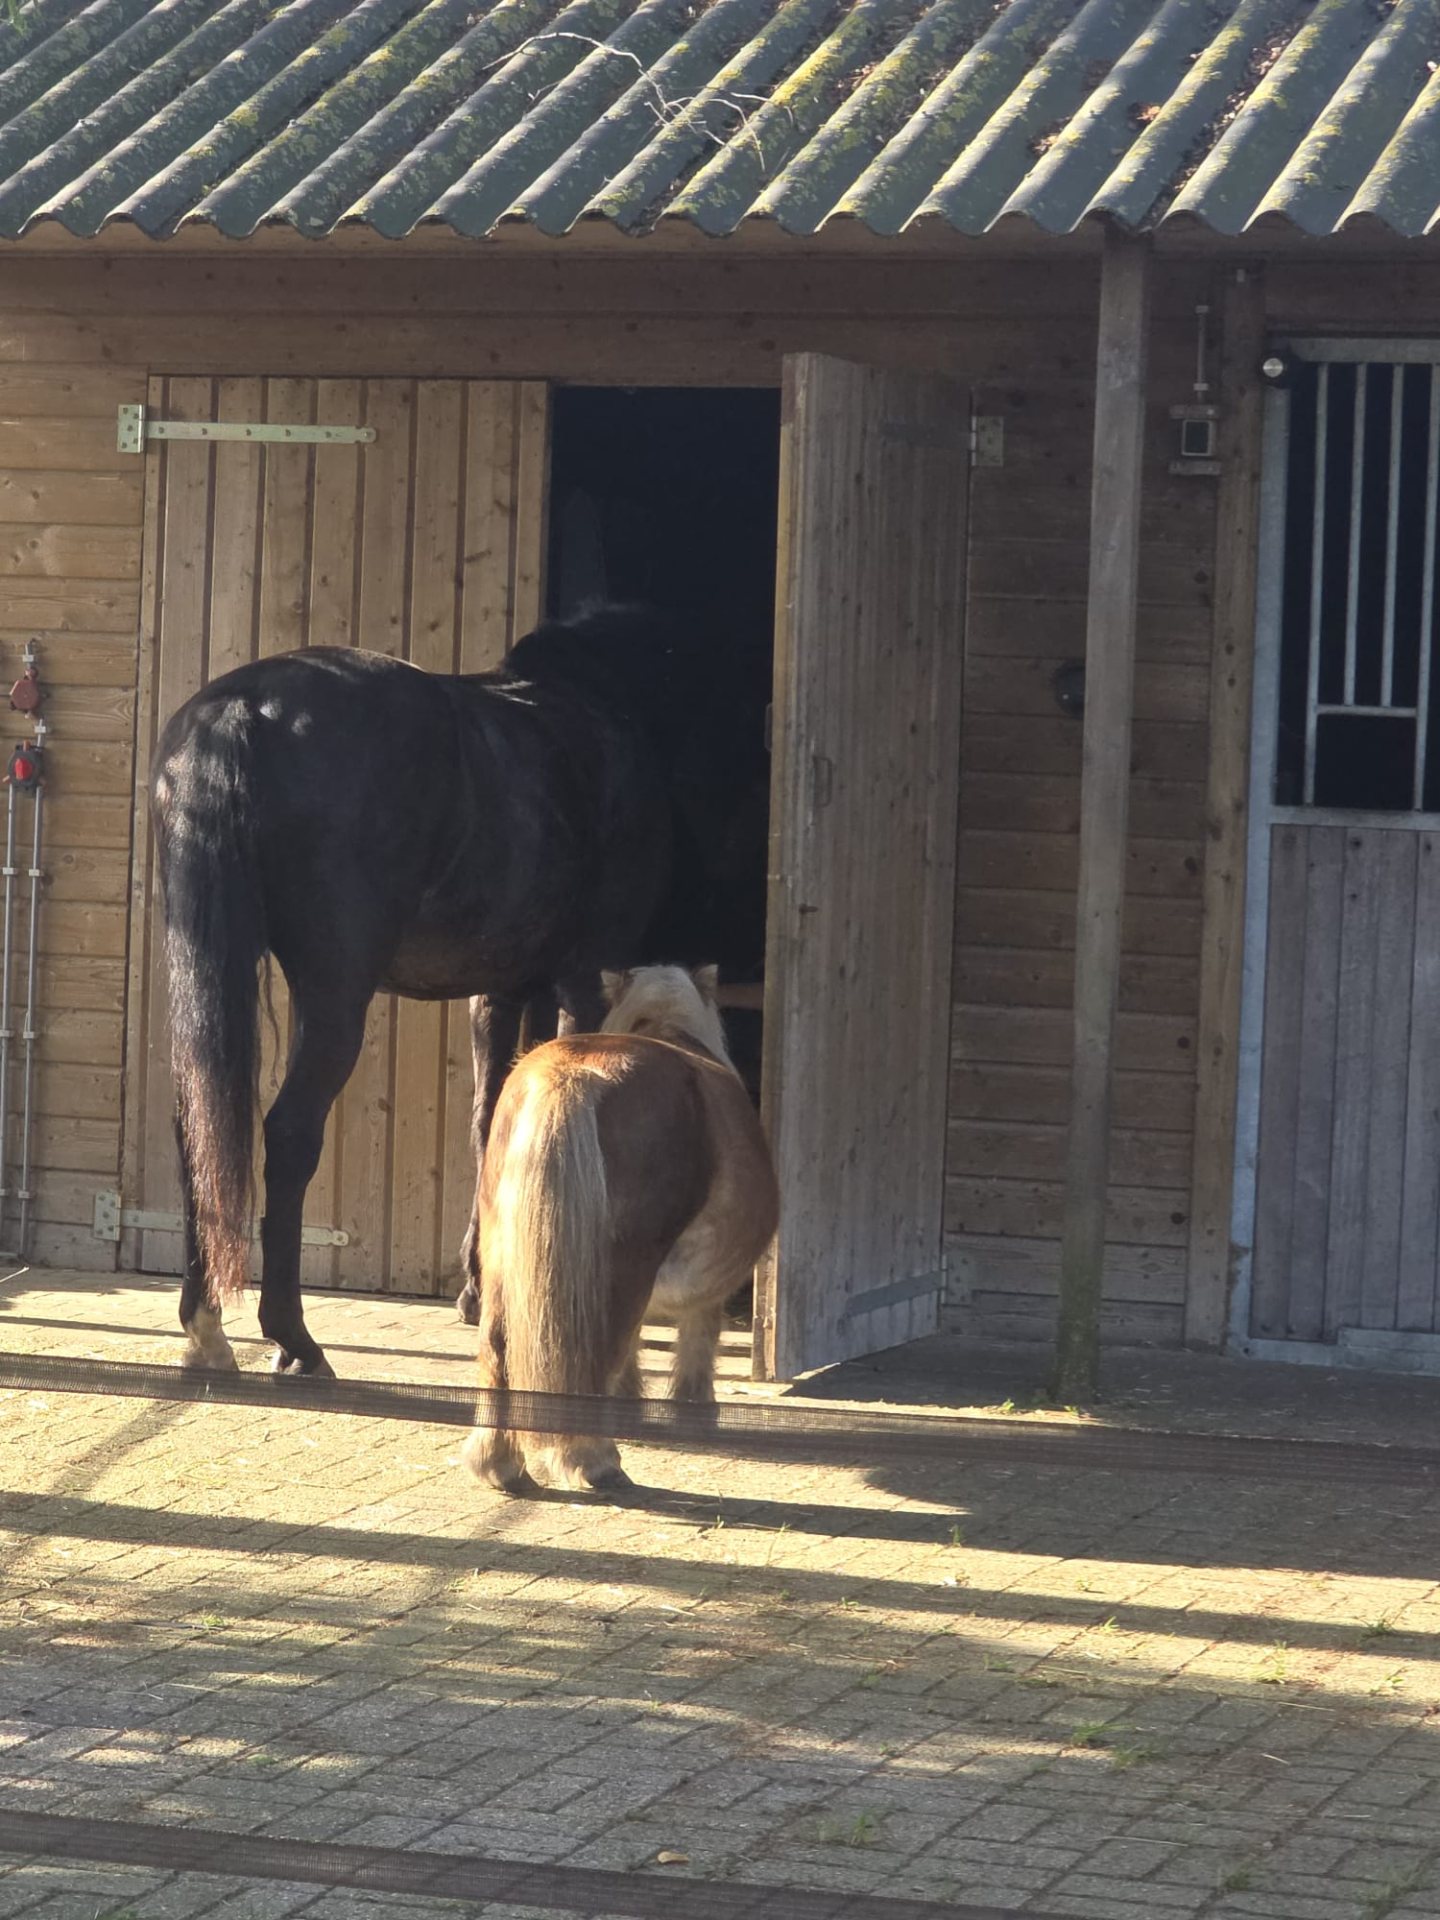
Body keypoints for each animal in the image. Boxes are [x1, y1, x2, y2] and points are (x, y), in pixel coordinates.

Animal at [152, 605, 725, 1381]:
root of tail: (243, 709)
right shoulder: (583, 978)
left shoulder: (505, 989)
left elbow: (495, 1118)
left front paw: (482, 1292)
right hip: (334, 990)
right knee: (290, 1133)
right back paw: (294, 1338)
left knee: (199, 1123)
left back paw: (205, 1327)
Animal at [461, 963, 779, 1495]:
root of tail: (570, 1075)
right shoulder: (707, 1291)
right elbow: (695, 1339)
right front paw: (692, 1413)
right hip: (620, 1270)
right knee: (598, 1349)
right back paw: (593, 1461)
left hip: (503, 1259)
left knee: (497, 1348)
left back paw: (498, 1464)